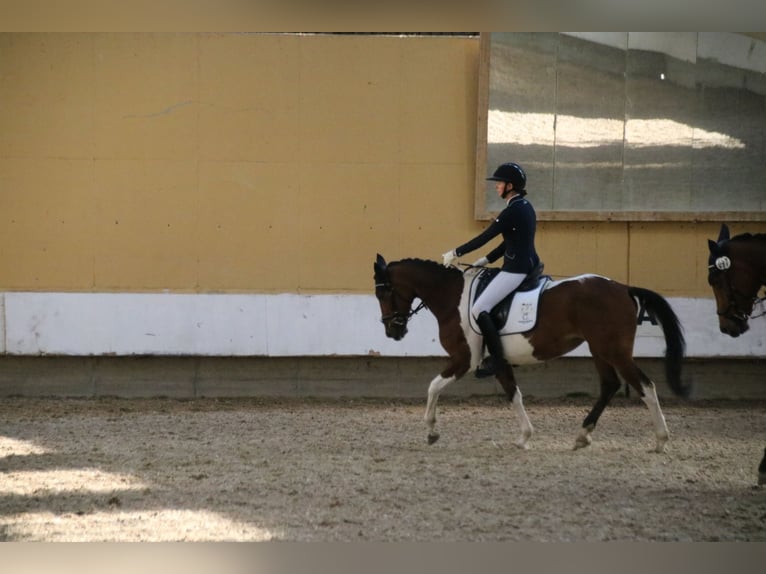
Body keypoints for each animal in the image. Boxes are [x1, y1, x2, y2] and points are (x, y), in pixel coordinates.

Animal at [376, 256, 692, 454]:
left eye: (383, 293)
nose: (392, 331)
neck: (453, 296)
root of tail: (624, 288)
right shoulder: (499, 362)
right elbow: (514, 395)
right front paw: (524, 437)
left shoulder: (464, 359)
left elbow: (432, 386)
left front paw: (431, 431)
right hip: (599, 349)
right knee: (610, 385)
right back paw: (582, 435)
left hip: (613, 350)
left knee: (645, 386)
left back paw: (661, 440)